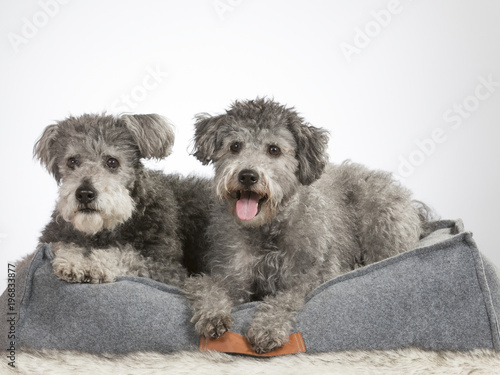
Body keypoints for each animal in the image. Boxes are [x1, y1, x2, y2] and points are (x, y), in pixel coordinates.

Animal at [33, 113, 209, 286]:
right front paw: (73, 261)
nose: (84, 194)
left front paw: (92, 264)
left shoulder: (167, 268)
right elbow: (61, 245)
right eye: (72, 161)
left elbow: (126, 256)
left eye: (112, 162)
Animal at [184, 97, 430, 356]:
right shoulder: (230, 277)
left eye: (274, 149)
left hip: (383, 220)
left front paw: (267, 328)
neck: (267, 230)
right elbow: (206, 286)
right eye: (235, 146)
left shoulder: (309, 277)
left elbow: (284, 299)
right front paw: (212, 315)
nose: (248, 176)